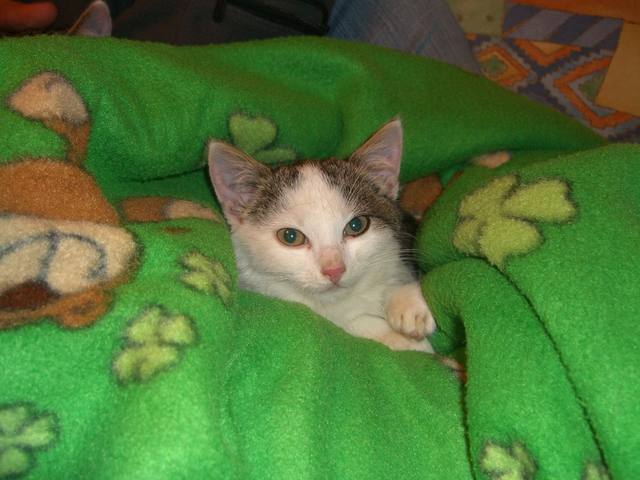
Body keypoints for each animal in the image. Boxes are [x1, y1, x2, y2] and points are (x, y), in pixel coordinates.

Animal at [208, 118, 436, 352]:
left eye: (356, 225)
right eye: (290, 236)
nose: (334, 270)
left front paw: (408, 302)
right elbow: (346, 324)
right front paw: (400, 339)